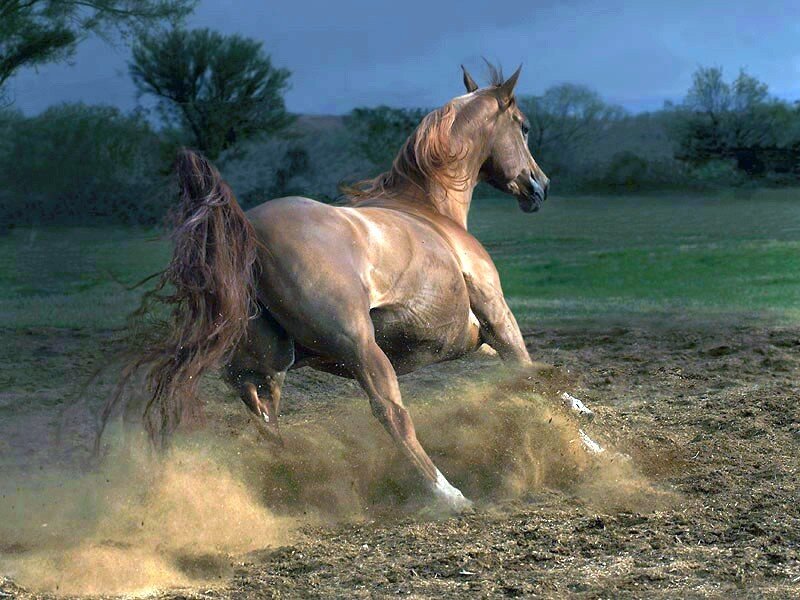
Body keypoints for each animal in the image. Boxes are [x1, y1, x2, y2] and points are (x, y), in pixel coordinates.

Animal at [122, 65, 552, 511]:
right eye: (523, 126)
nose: (540, 185)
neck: (431, 211)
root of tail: (249, 233)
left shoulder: (475, 336)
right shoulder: (496, 314)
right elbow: (533, 374)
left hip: (266, 364)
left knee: (264, 420)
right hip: (360, 348)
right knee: (390, 414)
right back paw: (448, 495)